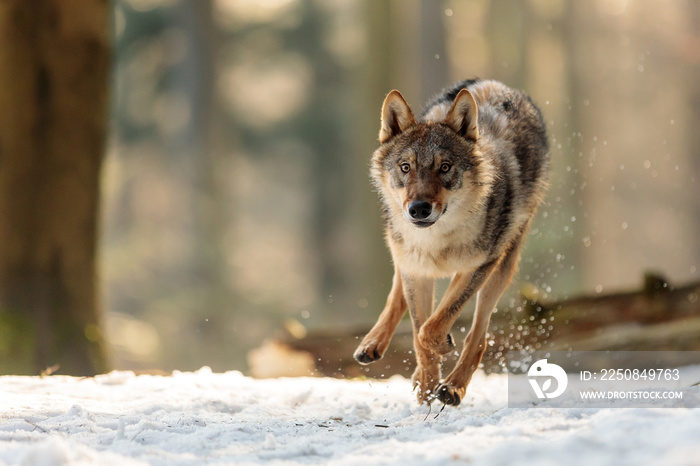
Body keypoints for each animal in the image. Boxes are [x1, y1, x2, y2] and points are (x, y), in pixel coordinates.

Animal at [352, 79, 548, 404]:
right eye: (405, 167)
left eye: (444, 167)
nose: (419, 208)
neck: (435, 241)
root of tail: (494, 83)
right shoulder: (416, 270)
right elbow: (419, 331)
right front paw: (427, 383)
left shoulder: (478, 267)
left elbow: (432, 327)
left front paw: (440, 362)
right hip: (403, 254)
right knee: (397, 293)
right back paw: (373, 344)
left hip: (502, 268)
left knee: (478, 335)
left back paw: (453, 387)